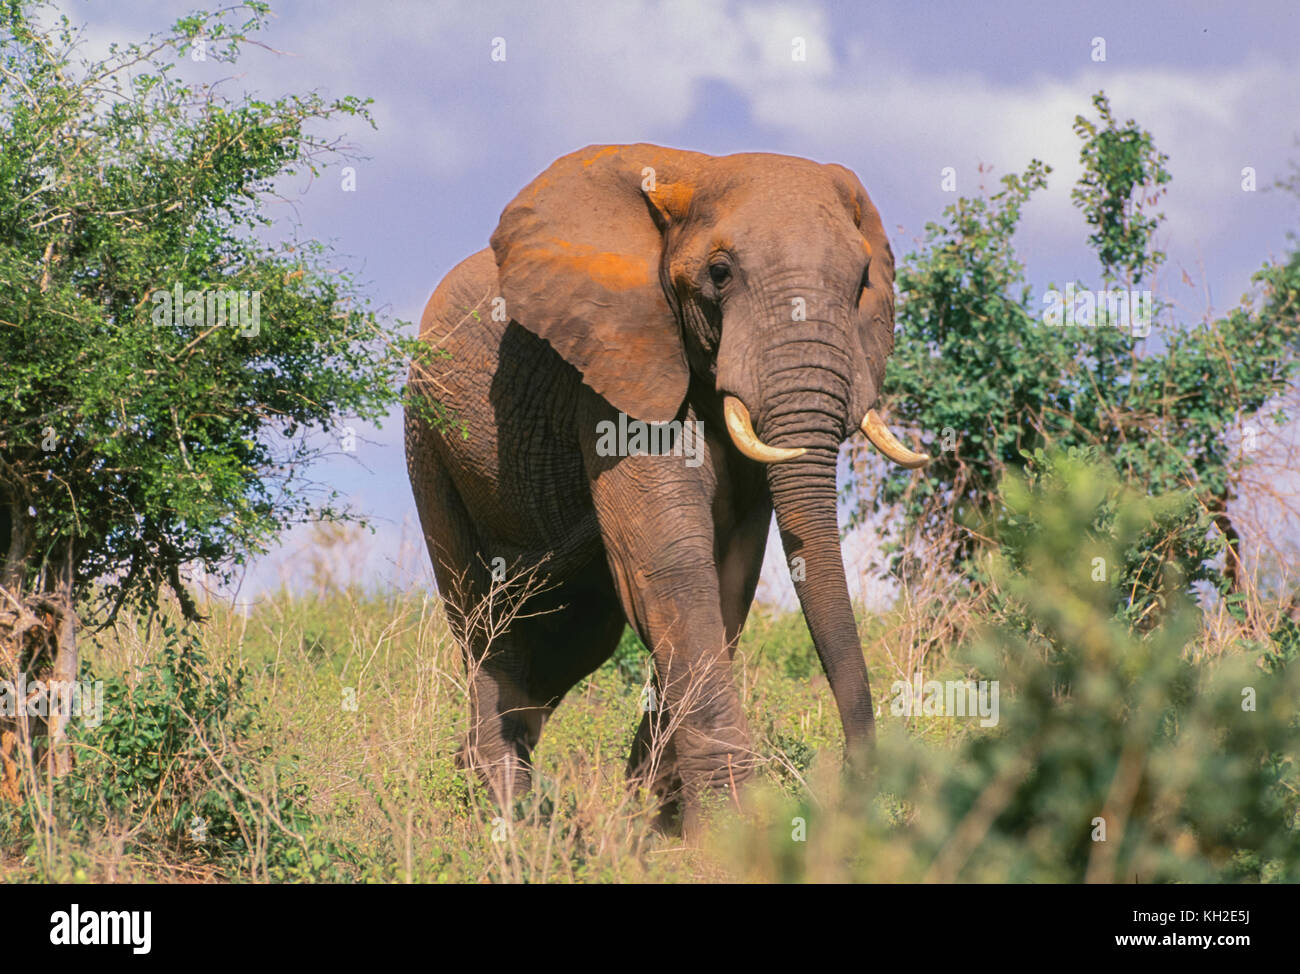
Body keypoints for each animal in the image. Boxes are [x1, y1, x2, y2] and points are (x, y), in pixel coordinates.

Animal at [405, 143, 928, 830]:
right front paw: (723, 832)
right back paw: (507, 825)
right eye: (720, 273)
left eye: (862, 278)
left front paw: (653, 825)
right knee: (485, 624)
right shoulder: (615, 372)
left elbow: (726, 577)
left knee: (562, 642)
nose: (854, 786)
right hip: (429, 442)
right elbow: (671, 568)